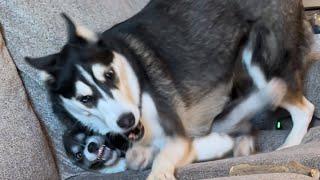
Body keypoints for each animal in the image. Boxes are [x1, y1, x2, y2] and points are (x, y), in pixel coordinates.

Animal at [26, 0, 314, 179]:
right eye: (85, 98)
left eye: (109, 75)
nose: (127, 120)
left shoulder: (178, 137)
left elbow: (167, 154)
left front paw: (159, 171)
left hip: (262, 67)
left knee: (304, 107)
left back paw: (289, 146)